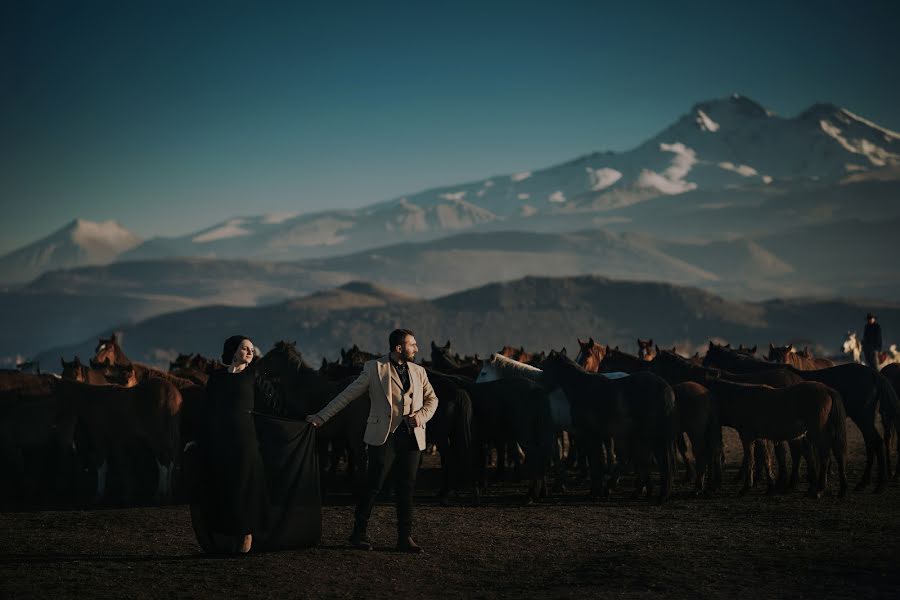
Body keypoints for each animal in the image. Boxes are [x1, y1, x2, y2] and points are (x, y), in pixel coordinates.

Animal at [536, 350, 672, 504]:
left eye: (545, 367)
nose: (537, 389)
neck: (581, 389)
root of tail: (664, 387)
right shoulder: (597, 436)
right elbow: (599, 463)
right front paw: (598, 491)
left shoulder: (589, 436)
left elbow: (595, 464)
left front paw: (594, 493)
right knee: (644, 460)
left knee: (661, 462)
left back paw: (659, 495)